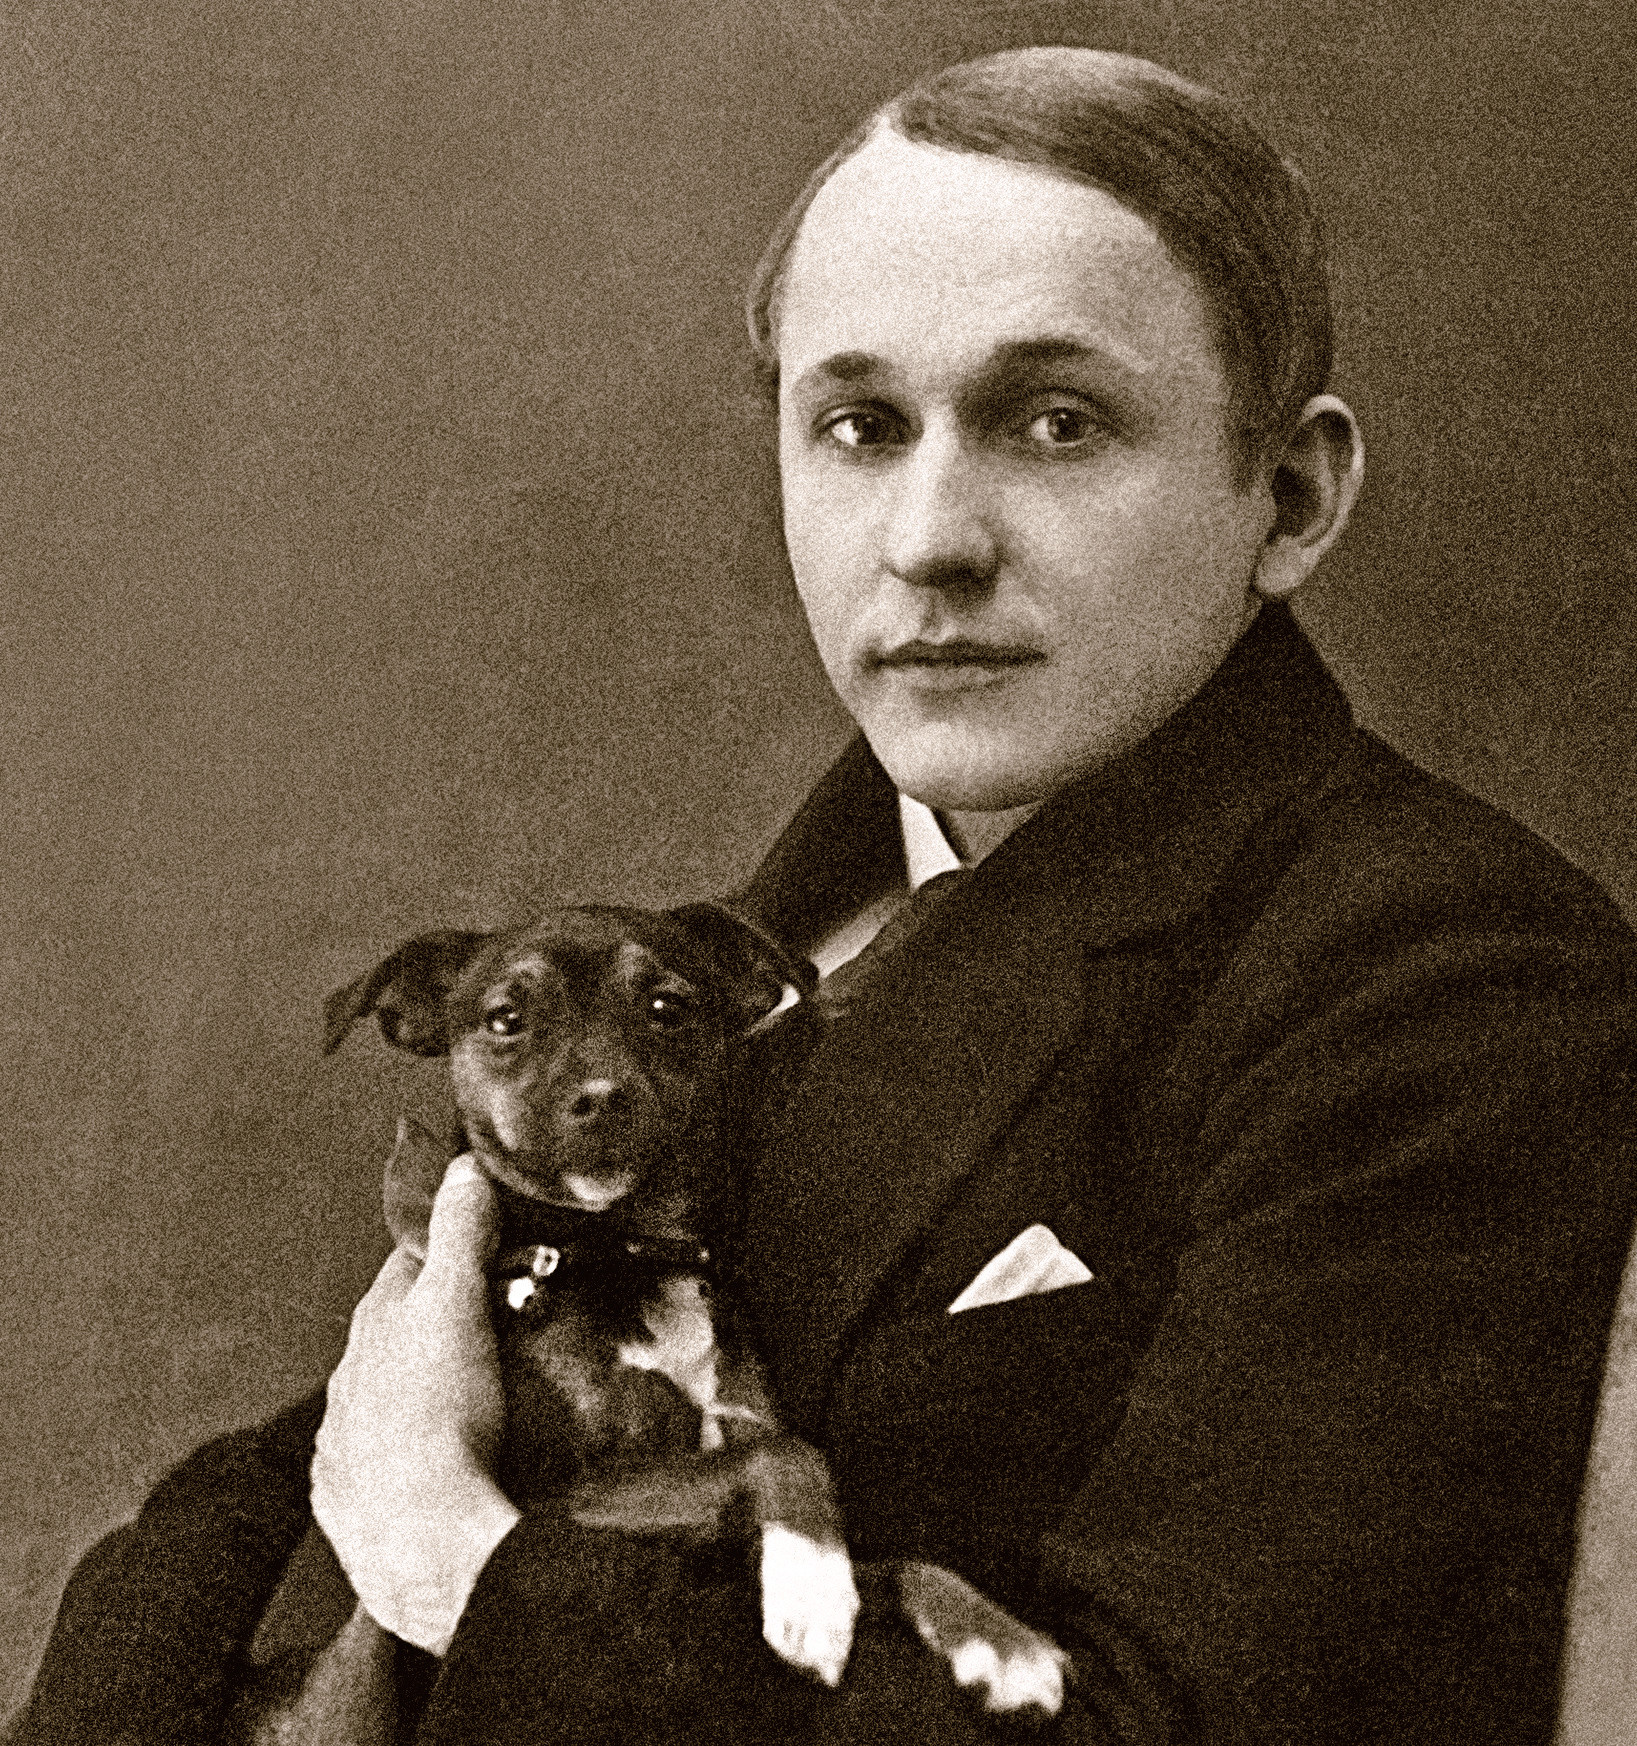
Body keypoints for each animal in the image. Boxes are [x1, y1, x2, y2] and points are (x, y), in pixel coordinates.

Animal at [238, 900, 1066, 1739]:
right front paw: (814, 1588)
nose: (601, 1095)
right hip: (356, 1681)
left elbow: (893, 1557)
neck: (624, 1252)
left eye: (667, 1007)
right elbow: (781, 1454)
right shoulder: (568, 1495)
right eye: (505, 1019)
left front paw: (995, 1639)